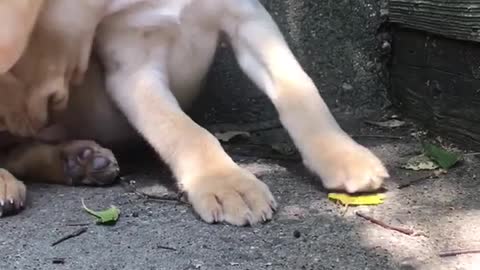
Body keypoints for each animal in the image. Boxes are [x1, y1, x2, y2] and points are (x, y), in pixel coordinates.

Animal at [0, 0, 388, 226]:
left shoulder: (248, 18)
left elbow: (299, 88)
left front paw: (342, 154)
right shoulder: (134, 68)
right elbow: (185, 132)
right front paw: (226, 184)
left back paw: (80, 161)